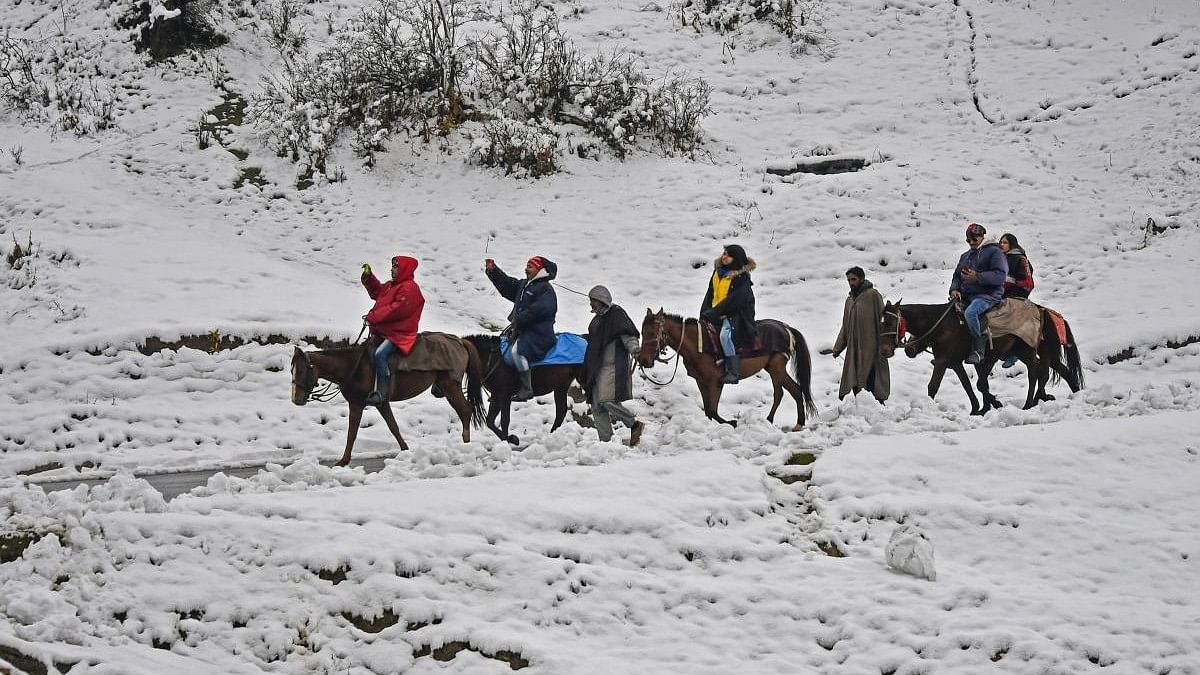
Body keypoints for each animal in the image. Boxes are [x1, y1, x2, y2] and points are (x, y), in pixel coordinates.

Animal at [289, 333, 482, 461]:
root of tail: (460, 341)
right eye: (292, 370)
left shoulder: (369, 402)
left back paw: (466, 445)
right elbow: (390, 427)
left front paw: (343, 461)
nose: (296, 399)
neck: (353, 367)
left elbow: (355, 432)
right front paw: (405, 450)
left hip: (451, 386)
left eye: (302, 370)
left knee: (465, 411)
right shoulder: (368, 403)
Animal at [633, 309, 820, 427]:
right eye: (642, 332)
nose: (643, 360)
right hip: (773, 368)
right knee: (788, 391)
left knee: (788, 391)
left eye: (652, 333)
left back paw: (791, 422)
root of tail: (786, 328)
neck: (698, 346)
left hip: (777, 368)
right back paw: (782, 421)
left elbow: (713, 411)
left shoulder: (716, 382)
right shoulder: (701, 382)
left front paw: (732, 422)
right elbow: (708, 411)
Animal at [878, 300, 1084, 415]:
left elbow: (934, 386)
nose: (885, 351)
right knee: (1054, 370)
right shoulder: (955, 362)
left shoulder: (945, 360)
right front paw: (979, 408)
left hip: (1029, 350)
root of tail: (1044, 311)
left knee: (1036, 373)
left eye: (890, 322)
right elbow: (969, 385)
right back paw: (1064, 394)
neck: (942, 325)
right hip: (1026, 351)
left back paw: (1029, 403)